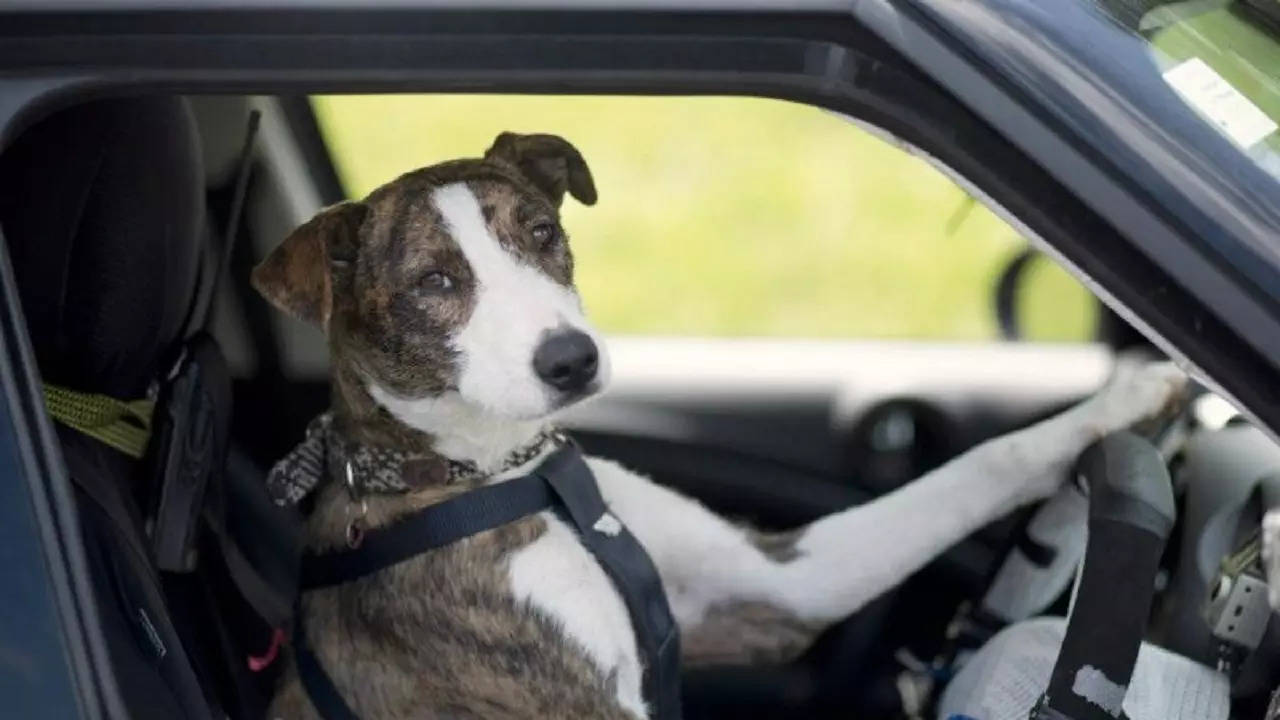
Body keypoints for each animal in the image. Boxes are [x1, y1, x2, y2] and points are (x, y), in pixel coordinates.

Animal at [252, 131, 1187, 712]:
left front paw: (1131, 401)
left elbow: (981, 467)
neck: (506, 475)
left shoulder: (765, 591)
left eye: (543, 231)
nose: (572, 361)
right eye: (433, 283)